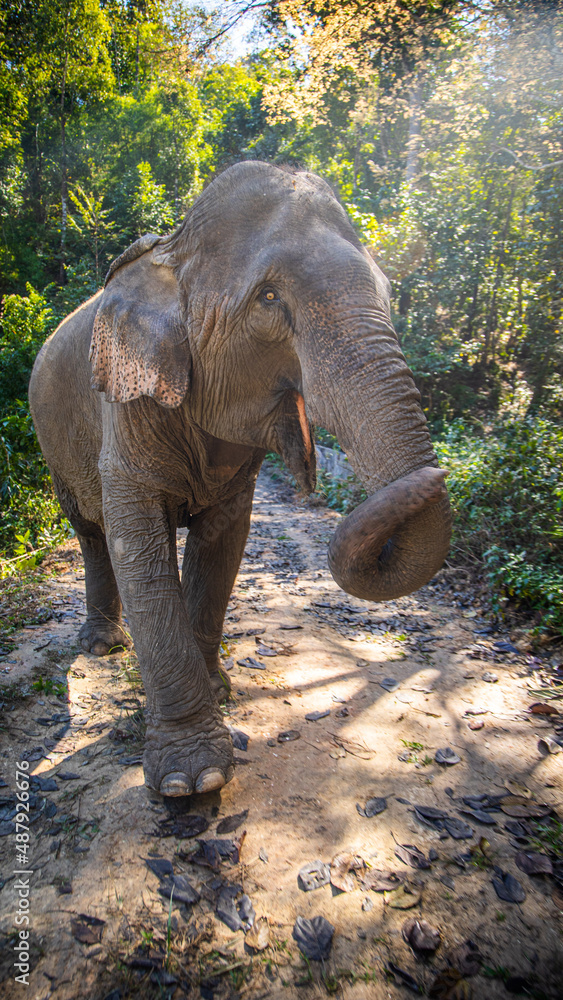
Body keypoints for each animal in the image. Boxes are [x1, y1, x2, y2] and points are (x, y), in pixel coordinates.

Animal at [29, 160, 450, 798]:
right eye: (269, 298)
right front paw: (191, 781)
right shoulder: (124, 407)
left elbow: (224, 543)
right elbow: (140, 551)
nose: (442, 470)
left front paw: (219, 693)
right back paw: (101, 646)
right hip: (53, 445)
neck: (175, 251)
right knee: (90, 532)